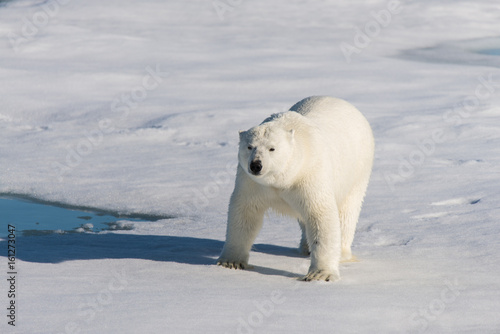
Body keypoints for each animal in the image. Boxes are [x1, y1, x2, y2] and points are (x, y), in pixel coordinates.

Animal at [217, 96, 374, 282]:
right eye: (249, 146)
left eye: (272, 148)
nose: (256, 165)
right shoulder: (252, 183)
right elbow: (245, 212)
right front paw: (231, 262)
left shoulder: (310, 174)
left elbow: (320, 214)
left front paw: (320, 274)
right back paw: (305, 248)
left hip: (358, 170)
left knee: (347, 212)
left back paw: (341, 253)